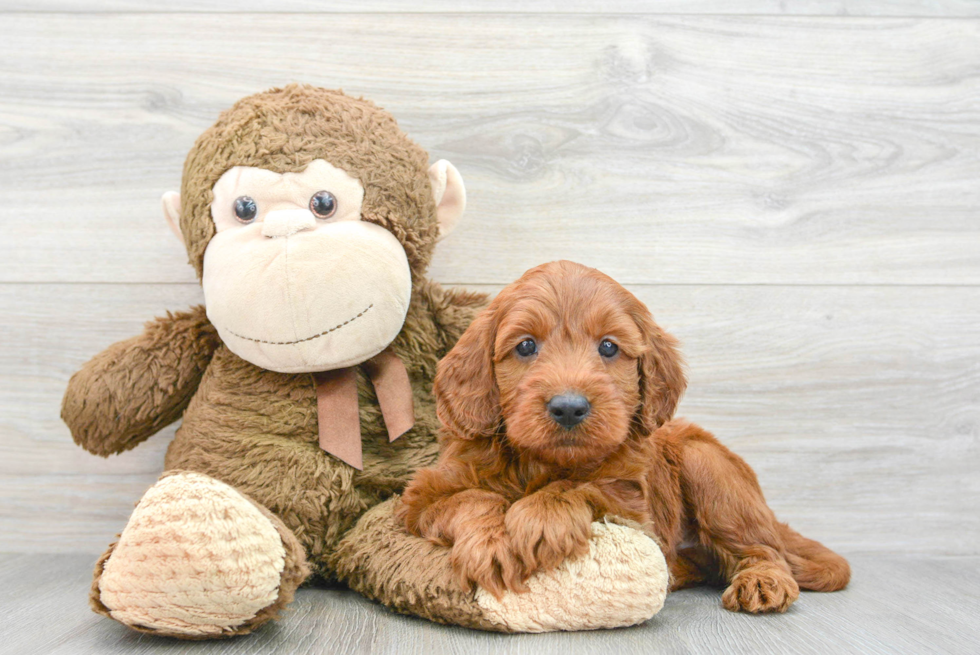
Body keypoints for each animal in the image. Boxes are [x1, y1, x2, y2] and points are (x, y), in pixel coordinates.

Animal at [398, 258, 848, 612]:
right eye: (525, 346)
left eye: (609, 347)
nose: (569, 407)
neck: (540, 461)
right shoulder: (421, 497)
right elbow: (469, 498)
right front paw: (490, 544)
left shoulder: (632, 504)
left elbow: (580, 486)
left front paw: (542, 516)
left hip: (708, 467)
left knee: (765, 550)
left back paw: (763, 581)